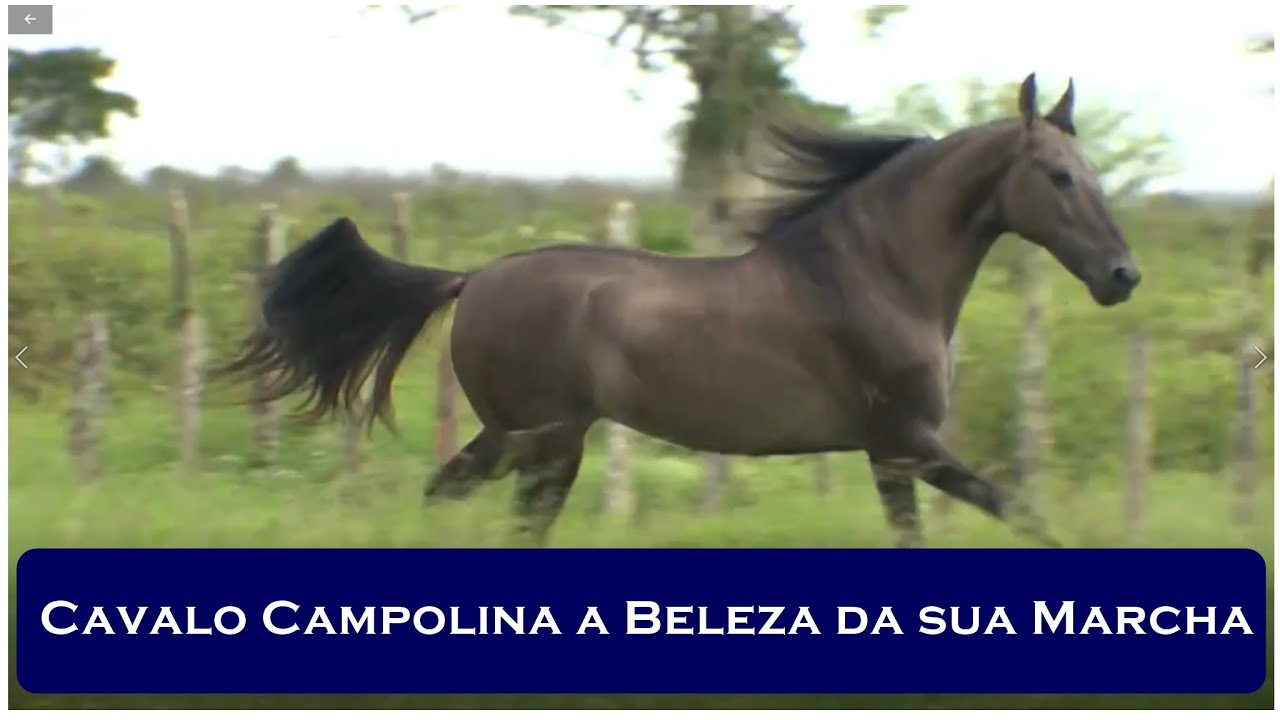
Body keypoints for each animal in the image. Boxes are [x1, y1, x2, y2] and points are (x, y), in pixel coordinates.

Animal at [217, 72, 1140, 548]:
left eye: (1094, 172)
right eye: (1059, 177)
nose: (1122, 275)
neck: (875, 275)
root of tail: (472, 278)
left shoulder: (893, 456)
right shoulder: (905, 441)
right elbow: (1025, 516)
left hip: (520, 438)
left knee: (447, 496)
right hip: (544, 442)